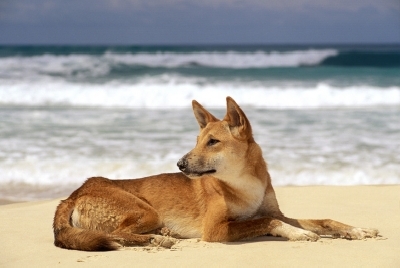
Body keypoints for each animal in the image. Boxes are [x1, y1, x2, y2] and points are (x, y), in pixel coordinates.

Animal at [53, 97, 378, 251]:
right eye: (198, 141)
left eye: (212, 142)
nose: (180, 164)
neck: (244, 186)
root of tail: (74, 193)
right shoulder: (216, 230)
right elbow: (267, 222)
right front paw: (298, 234)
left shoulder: (276, 211)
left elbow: (322, 220)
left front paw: (355, 230)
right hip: (145, 211)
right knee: (113, 234)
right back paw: (158, 240)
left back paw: (163, 234)